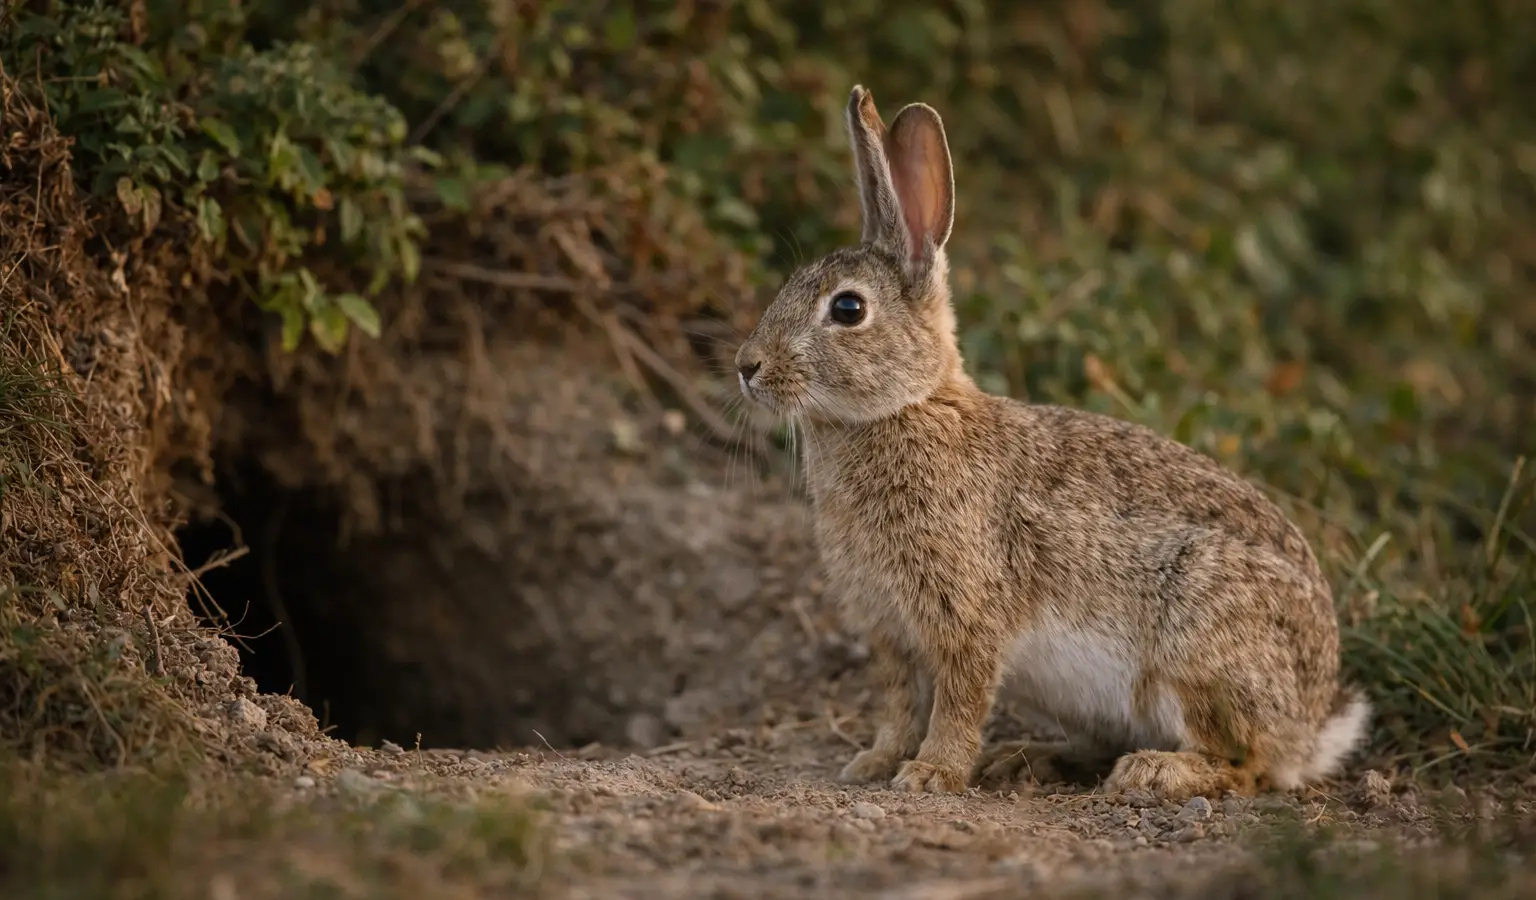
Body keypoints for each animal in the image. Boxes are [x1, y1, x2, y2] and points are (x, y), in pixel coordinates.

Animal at [731, 85, 1370, 799]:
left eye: (847, 309)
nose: (747, 366)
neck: (906, 407)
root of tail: (1311, 724)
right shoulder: (888, 629)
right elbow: (898, 704)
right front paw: (874, 762)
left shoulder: (966, 618)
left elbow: (957, 702)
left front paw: (930, 773)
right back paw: (1028, 759)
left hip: (1198, 653)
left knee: (1248, 766)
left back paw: (1155, 770)